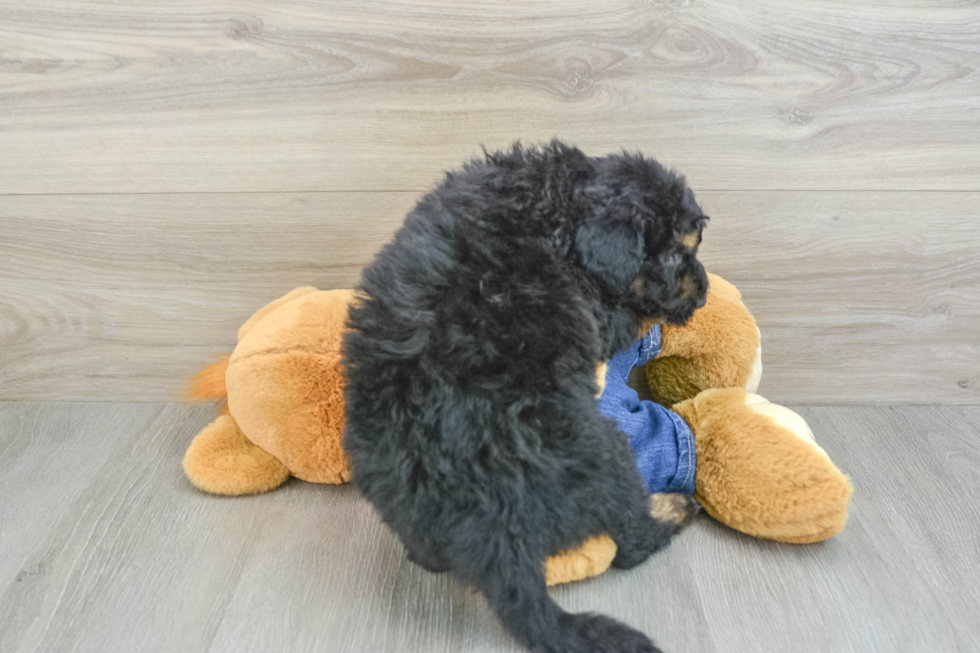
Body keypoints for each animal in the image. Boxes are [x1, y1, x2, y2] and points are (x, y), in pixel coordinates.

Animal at [342, 140, 704, 648]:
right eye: (673, 257)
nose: (705, 292)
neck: (559, 205)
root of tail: (499, 544)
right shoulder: (600, 315)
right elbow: (630, 318)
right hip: (611, 454)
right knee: (630, 541)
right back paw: (673, 509)